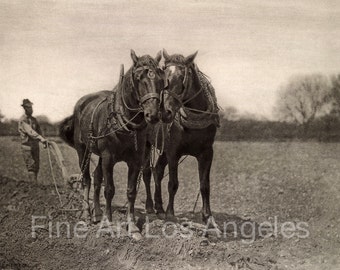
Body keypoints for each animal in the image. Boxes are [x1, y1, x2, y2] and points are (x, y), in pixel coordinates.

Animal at [59, 50, 163, 234]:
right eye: (138, 77)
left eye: (160, 78)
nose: (153, 114)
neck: (125, 123)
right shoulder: (108, 158)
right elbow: (109, 189)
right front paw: (108, 223)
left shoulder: (135, 161)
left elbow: (131, 191)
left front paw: (132, 226)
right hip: (83, 150)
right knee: (87, 179)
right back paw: (87, 214)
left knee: (96, 177)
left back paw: (97, 213)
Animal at [143, 49, 218, 226]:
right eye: (163, 79)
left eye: (182, 77)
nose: (164, 113)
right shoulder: (173, 153)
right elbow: (173, 184)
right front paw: (170, 214)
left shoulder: (207, 153)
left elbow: (205, 185)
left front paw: (208, 217)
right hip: (146, 145)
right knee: (147, 172)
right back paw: (150, 207)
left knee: (157, 170)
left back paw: (159, 207)